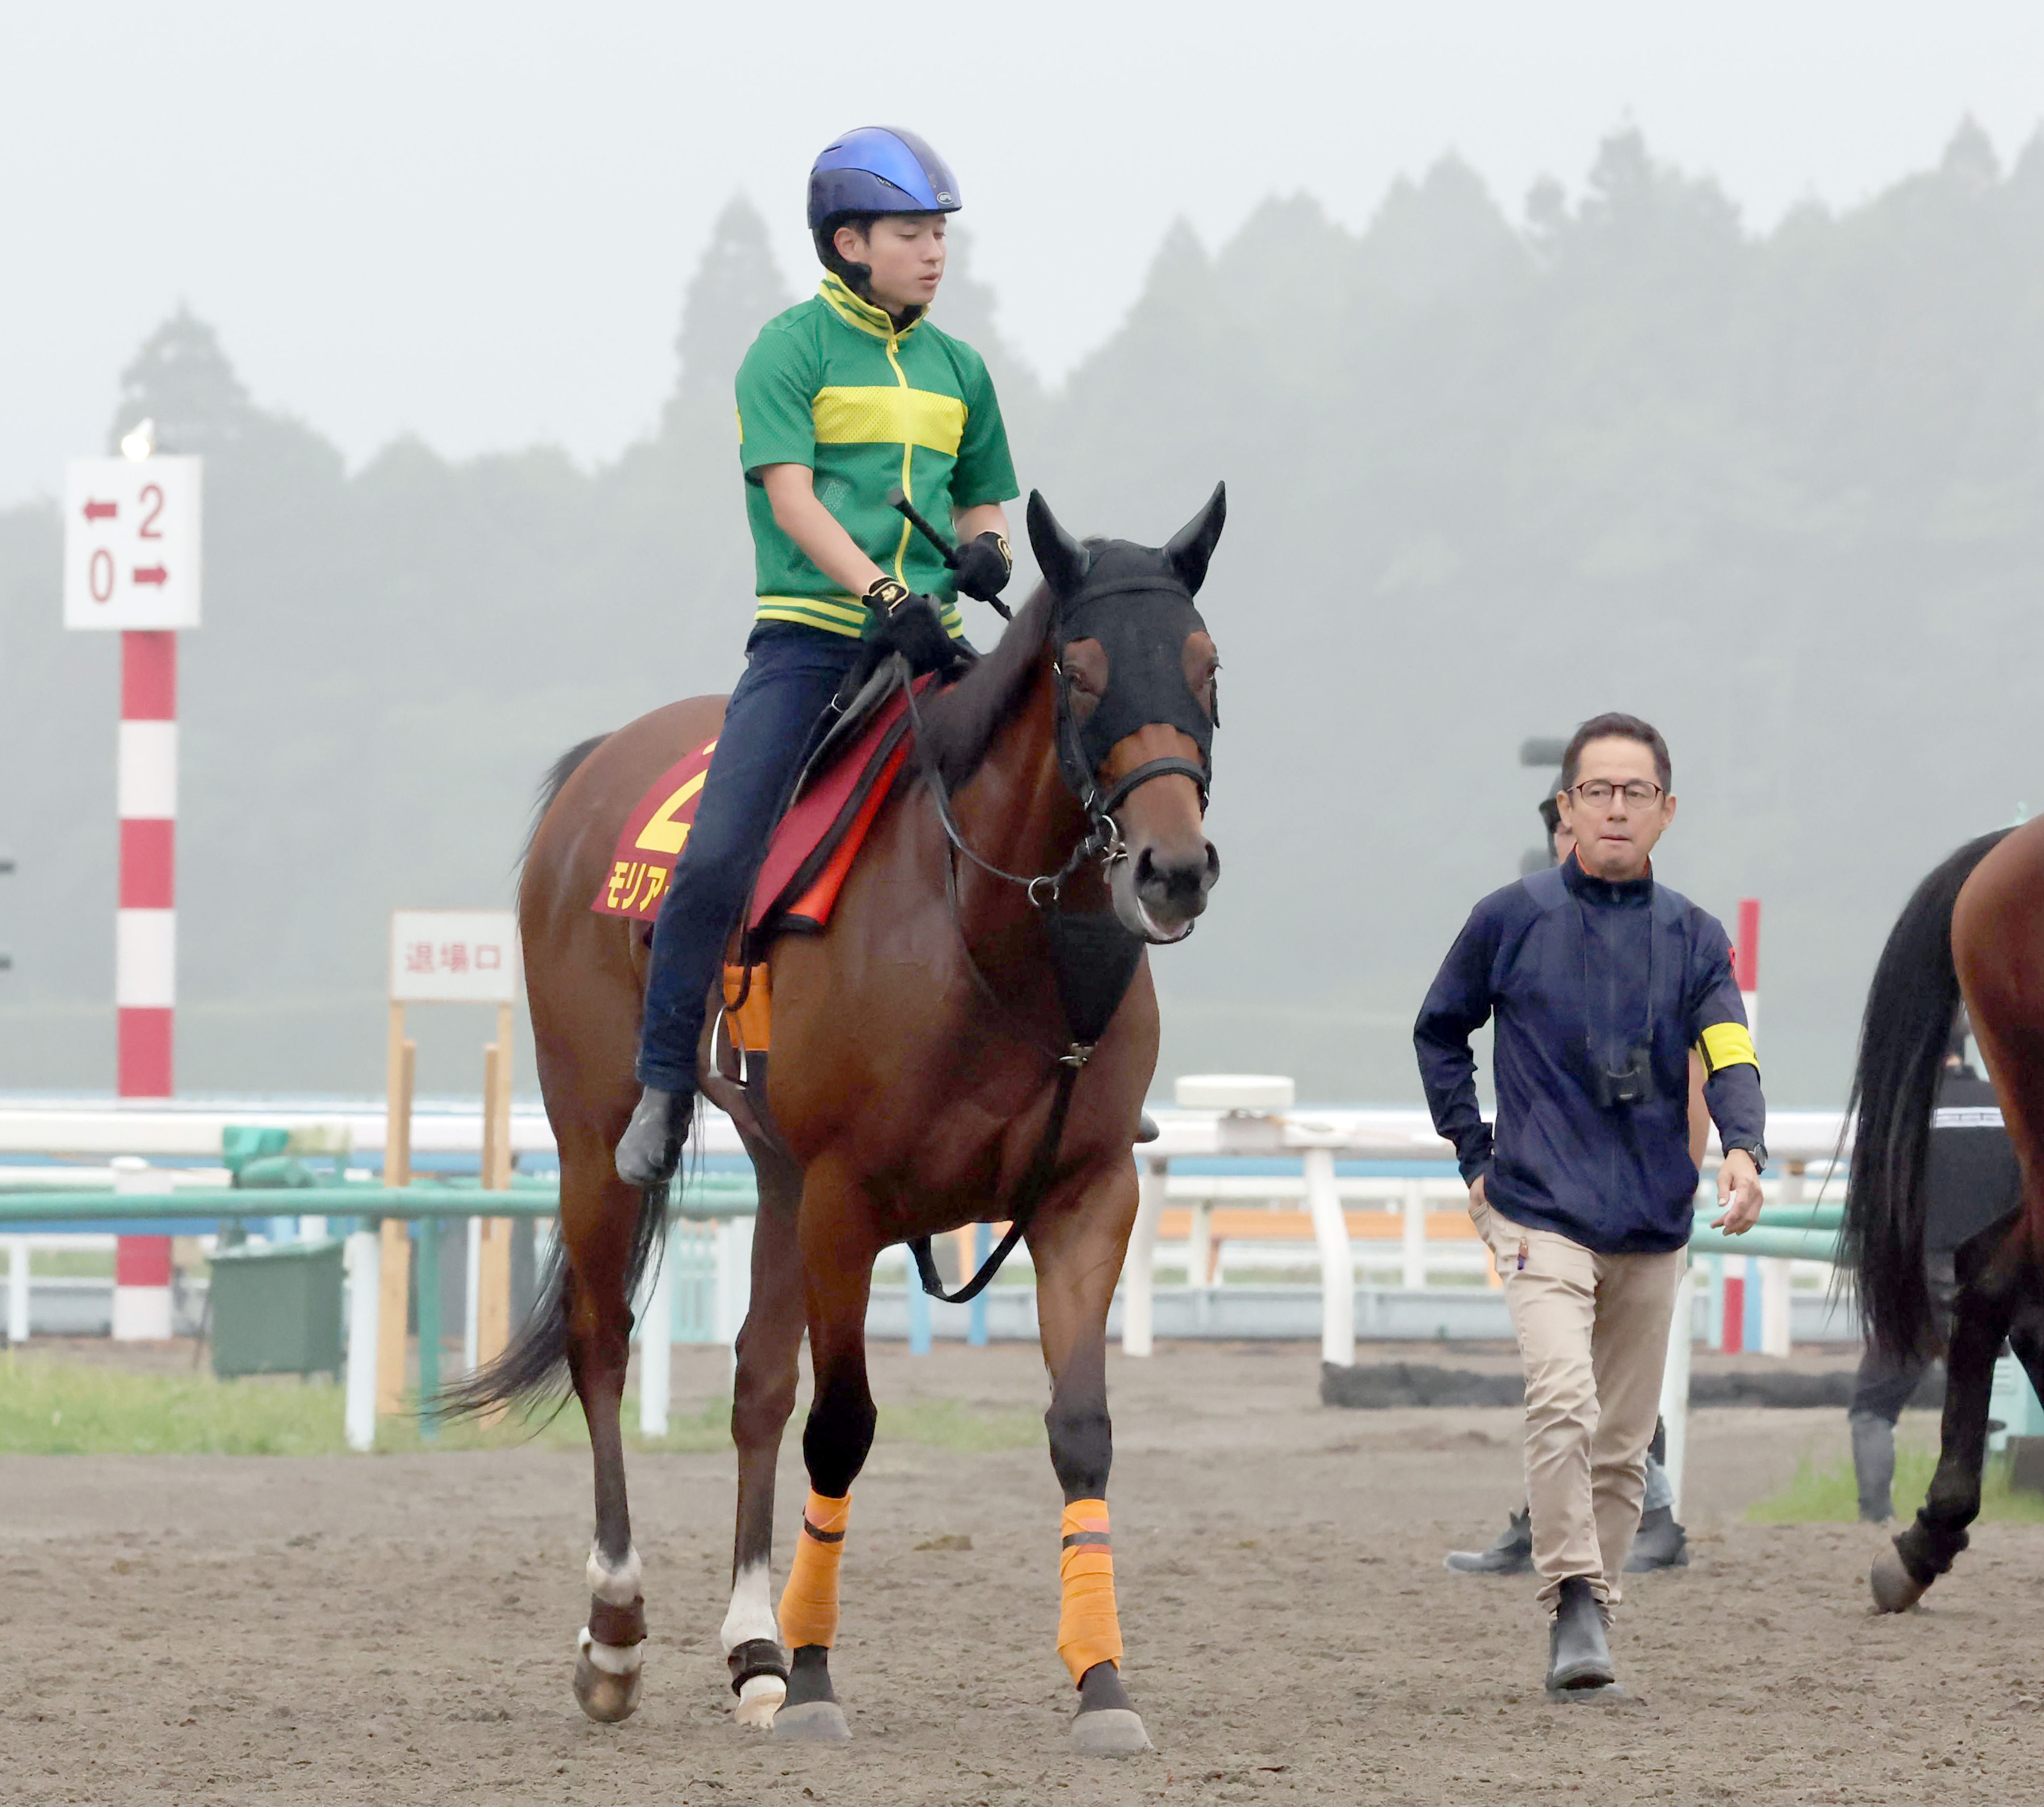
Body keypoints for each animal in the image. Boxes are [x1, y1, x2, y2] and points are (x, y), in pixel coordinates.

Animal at [460, 484, 1226, 1750]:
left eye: (1209, 665)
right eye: (1079, 669)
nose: (1173, 867)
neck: (994, 942)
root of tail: (599, 765)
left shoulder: (1086, 1196)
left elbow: (1079, 1430)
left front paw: (1102, 1683)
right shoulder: (846, 1198)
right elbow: (843, 1427)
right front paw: (819, 1677)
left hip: (774, 1173)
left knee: (755, 1383)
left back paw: (752, 1651)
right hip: (595, 1139)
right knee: (603, 1343)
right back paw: (617, 1631)